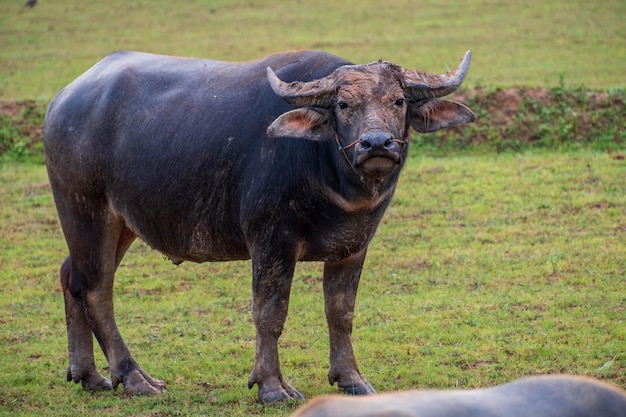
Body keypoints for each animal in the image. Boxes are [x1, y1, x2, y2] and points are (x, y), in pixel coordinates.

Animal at [44, 48, 472, 404]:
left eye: (398, 101)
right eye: (343, 104)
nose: (377, 143)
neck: (329, 173)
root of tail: (61, 102)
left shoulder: (353, 247)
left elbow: (341, 312)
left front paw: (352, 378)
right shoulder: (271, 242)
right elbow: (270, 313)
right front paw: (271, 386)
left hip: (120, 223)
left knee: (71, 276)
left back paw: (88, 375)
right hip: (86, 211)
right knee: (96, 288)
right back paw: (133, 378)